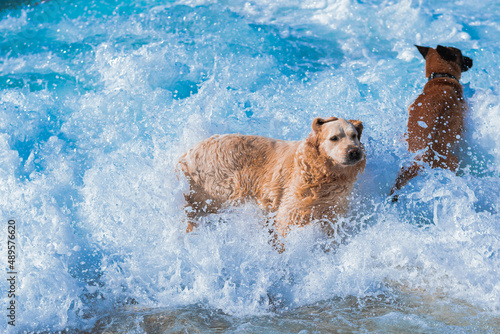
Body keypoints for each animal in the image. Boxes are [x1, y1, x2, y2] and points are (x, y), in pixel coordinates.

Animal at [180, 117, 368, 237]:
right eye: (334, 138)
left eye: (354, 136)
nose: (354, 151)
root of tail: (186, 155)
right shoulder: (294, 201)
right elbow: (285, 222)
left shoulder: (334, 207)